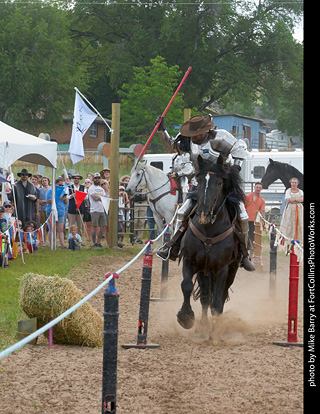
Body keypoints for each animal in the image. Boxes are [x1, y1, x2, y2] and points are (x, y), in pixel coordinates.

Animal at [178, 157, 245, 328]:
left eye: (219, 183)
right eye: (199, 180)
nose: (204, 214)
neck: (208, 230)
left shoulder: (222, 269)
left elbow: (217, 305)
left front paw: (215, 331)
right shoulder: (190, 261)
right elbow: (187, 286)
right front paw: (185, 317)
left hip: (230, 270)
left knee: (219, 297)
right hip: (204, 270)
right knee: (205, 297)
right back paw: (202, 326)